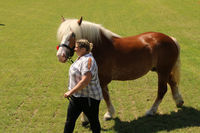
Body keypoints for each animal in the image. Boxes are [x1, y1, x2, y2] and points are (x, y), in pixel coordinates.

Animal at [55, 16, 184, 122]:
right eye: (61, 34)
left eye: (73, 34)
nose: (60, 55)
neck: (101, 47)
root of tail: (170, 39)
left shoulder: (101, 80)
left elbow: (104, 96)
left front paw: (106, 114)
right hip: (162, 70)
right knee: (172, 82)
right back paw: (179, 101)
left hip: (163, 71)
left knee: (162, 90)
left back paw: (152, 110)